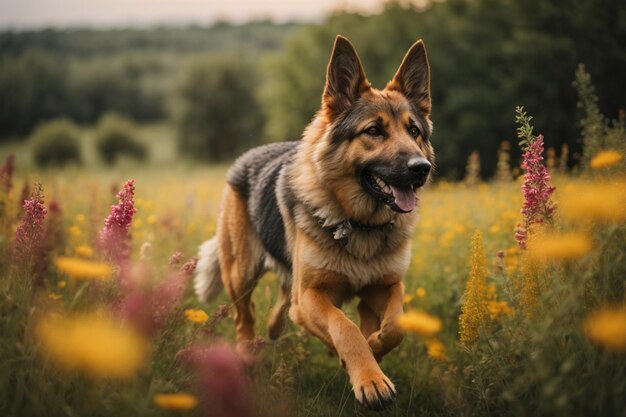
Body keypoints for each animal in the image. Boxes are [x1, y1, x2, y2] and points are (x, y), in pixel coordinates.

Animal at [193, 35, 432, 410]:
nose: (422, 168)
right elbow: (345, 328)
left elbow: (396, 324)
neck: (359, 223)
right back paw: (247, 356)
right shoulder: (312, 296)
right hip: (241, 274)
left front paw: (375, 347)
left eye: (414, 131)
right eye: (374, 130)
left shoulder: (387, 286)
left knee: (285, 303)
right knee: (245, 317)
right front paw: (370, 378)